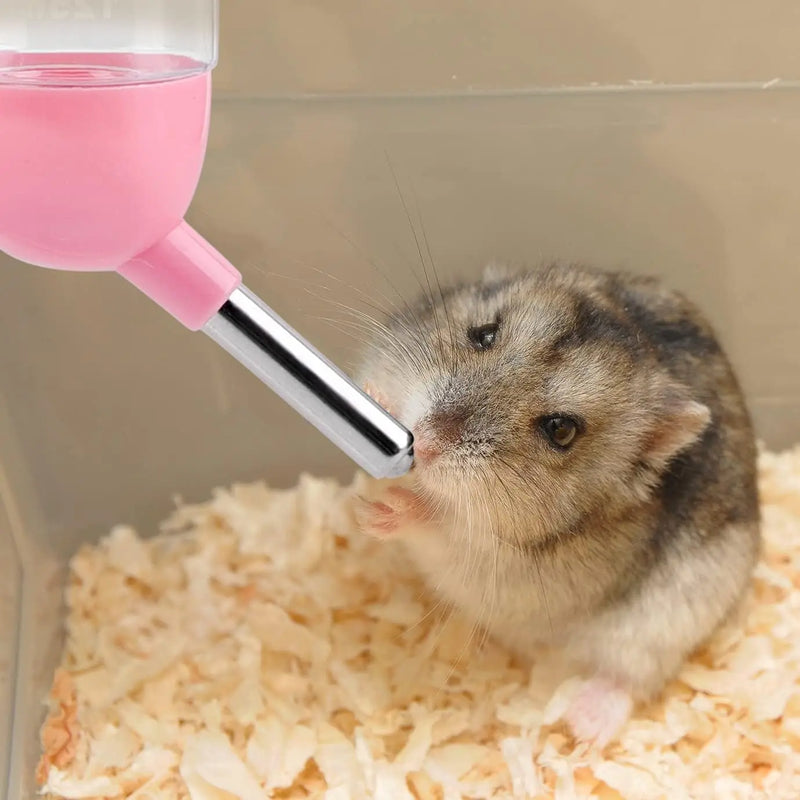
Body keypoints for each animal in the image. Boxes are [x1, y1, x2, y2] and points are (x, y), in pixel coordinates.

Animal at [356, 262, 760, 747]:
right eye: (484, 334)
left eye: (561, 430)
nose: (426, 442)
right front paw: (373, 399)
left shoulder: (502, 564)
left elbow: (444, 527)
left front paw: (381, 513)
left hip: (662, 628)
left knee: (631, 678)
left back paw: (583, 727)